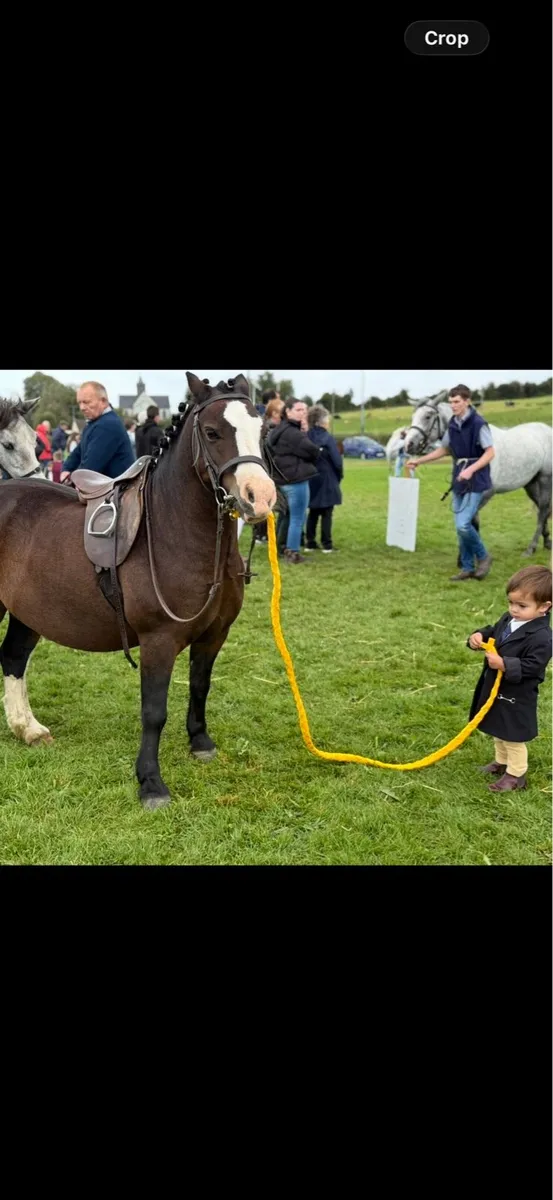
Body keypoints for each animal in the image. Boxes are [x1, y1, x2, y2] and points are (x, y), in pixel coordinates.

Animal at [0, 373, 277, 810]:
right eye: (212, 432)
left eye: (263, 430)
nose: (260, 497)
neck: (169, 531)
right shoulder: (158, 639)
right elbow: (153, 711)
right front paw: (151, 783)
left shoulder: (215, 634)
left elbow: (200, 686)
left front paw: (200, 742)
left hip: (28, 612)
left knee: (13, 658)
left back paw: (27, 728)